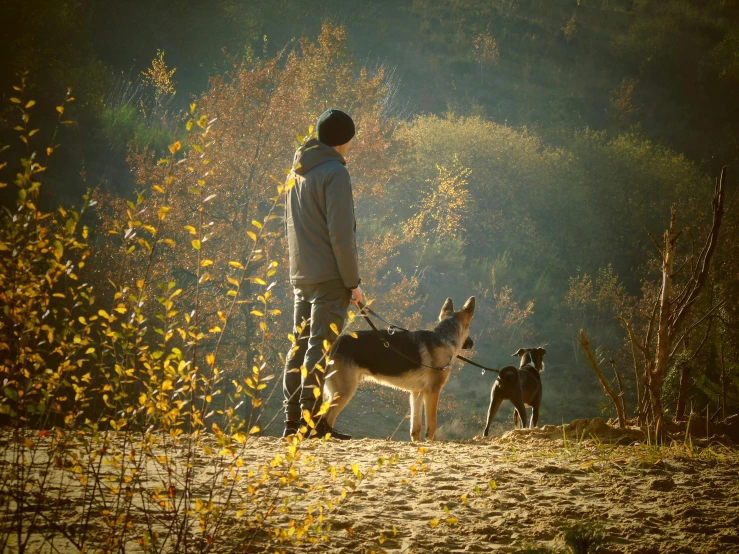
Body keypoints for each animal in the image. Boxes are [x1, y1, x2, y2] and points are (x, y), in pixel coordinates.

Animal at [322, 298, 474, 440]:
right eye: (470, 328)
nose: (472, 344)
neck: (444, 337)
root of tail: (335, 342)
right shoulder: (433, 392)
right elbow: (432, 427)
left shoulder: (417, 393)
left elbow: (415, 428)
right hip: (345, 391)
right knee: (326, 417)